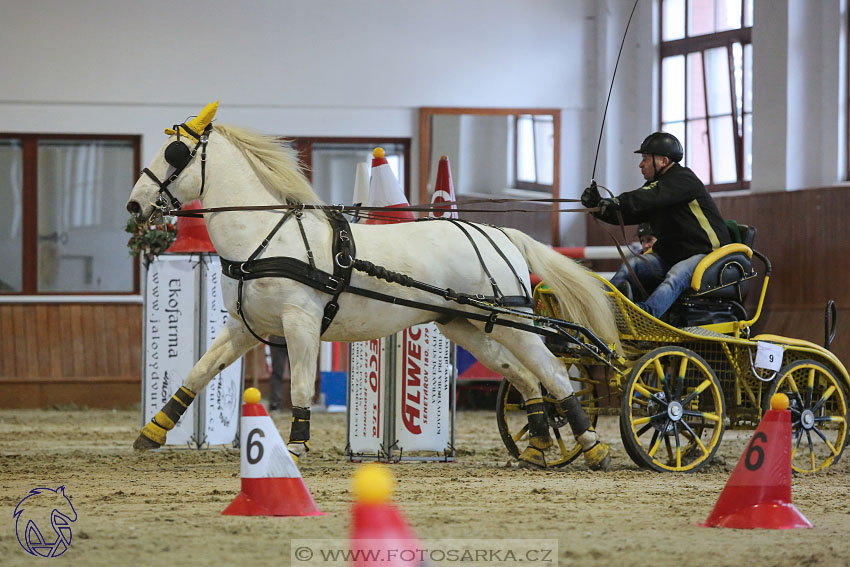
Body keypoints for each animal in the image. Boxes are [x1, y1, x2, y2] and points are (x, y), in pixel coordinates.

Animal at [126, 102, 616, 470]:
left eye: (175, 152)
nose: (135, 204)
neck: (265, 236)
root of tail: (499, 233)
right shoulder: (246, 326)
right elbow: (198, 371)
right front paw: (153, 430)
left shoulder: (300, 322)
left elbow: (301, 386)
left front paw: (297, 445)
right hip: (468, 325)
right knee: (526, 378)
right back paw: (536, 448)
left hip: (515, 322)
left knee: (553, 373)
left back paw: (593, 448)